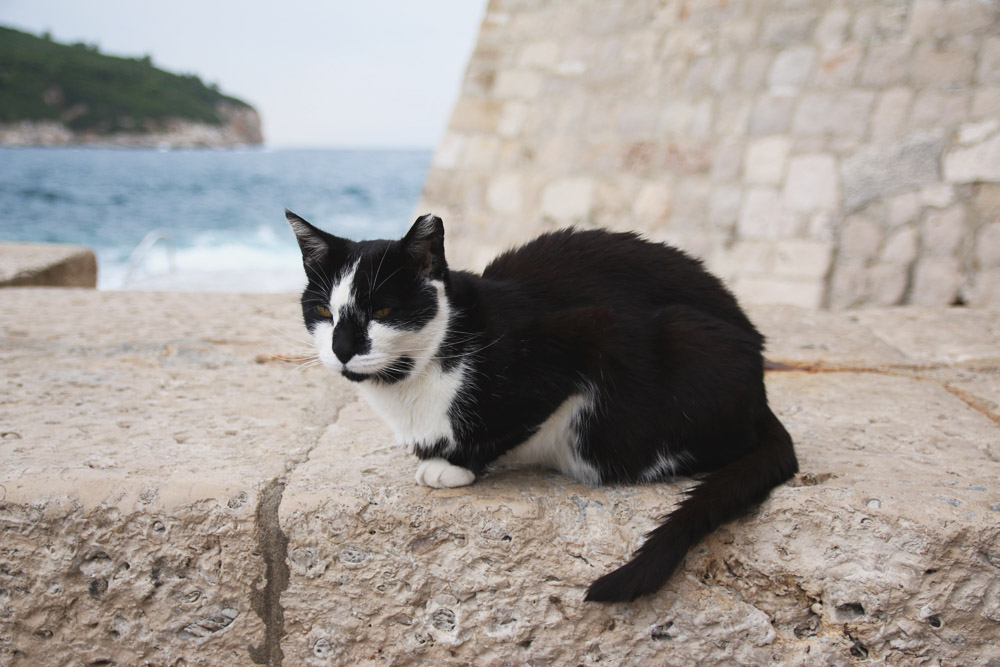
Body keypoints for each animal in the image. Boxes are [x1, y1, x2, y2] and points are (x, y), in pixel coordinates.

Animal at [288, 211, 796, 604]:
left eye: (383, 312)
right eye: (324, 313)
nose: (342, 349)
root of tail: (762, 393)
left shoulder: (584, 335)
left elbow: (511, 425)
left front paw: (452, 465)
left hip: (687, 338)